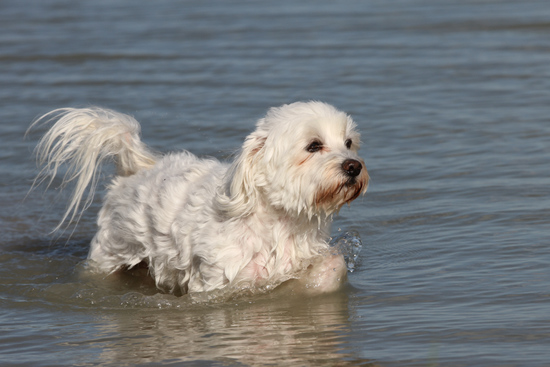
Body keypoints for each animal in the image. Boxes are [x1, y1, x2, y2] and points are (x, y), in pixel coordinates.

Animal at [33, 101, 370, 296]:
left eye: (349, 143)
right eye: (313, 145)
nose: (354, 166)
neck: (279, 222)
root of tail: (133, 169)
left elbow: (331, 266)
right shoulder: (222, 283)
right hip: (109, 253)